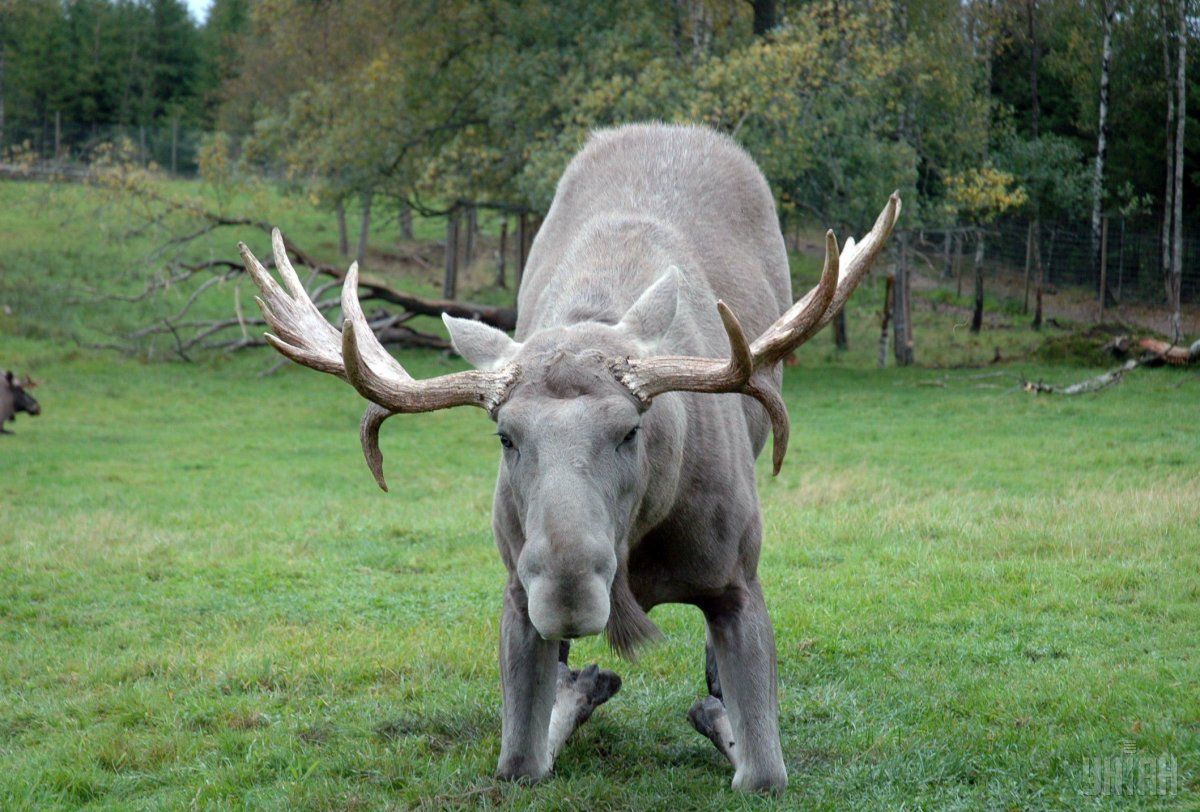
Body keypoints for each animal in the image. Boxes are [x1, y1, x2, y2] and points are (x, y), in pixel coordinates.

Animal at [241, 123, 902, 786]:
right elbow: (520, 760)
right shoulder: (515, 591)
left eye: (630, 430)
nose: (566, 596)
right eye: (505, 436)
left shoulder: (738, 580)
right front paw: (582, 688)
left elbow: (762, 766)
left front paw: (713, 706)